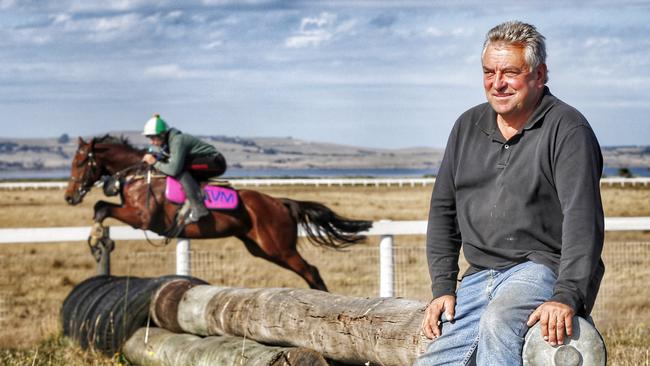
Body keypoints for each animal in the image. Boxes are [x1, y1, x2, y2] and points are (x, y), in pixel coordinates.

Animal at [66, 135, 372, 292]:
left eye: (80, 162)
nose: (69, 196)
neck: (138, 176)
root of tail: (281, 202)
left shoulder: (143, 218)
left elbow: (102, 207)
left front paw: (95, 240)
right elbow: (99, 207)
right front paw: (97, 241)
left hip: (279, 247)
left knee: (311, 271)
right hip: (262, 249)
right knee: (307, 271)